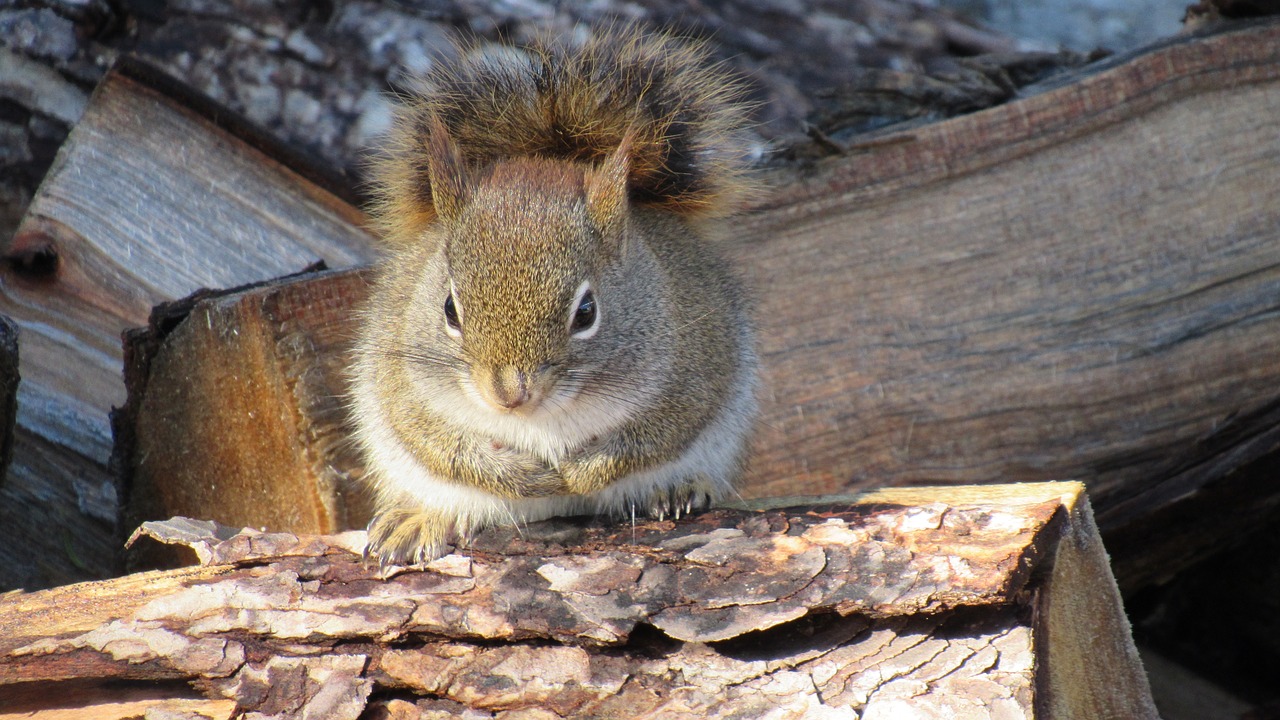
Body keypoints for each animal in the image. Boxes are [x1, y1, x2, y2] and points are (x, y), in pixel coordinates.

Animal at [348, 28, 757, 563]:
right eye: (450, 309)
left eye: (586, 312)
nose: (510, 394)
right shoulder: (400, 377)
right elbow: (437, 440)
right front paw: (526, 476)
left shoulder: (696, 363)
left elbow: (658, 433)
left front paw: (581, 474)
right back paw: (419, 519)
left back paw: (677, 489)